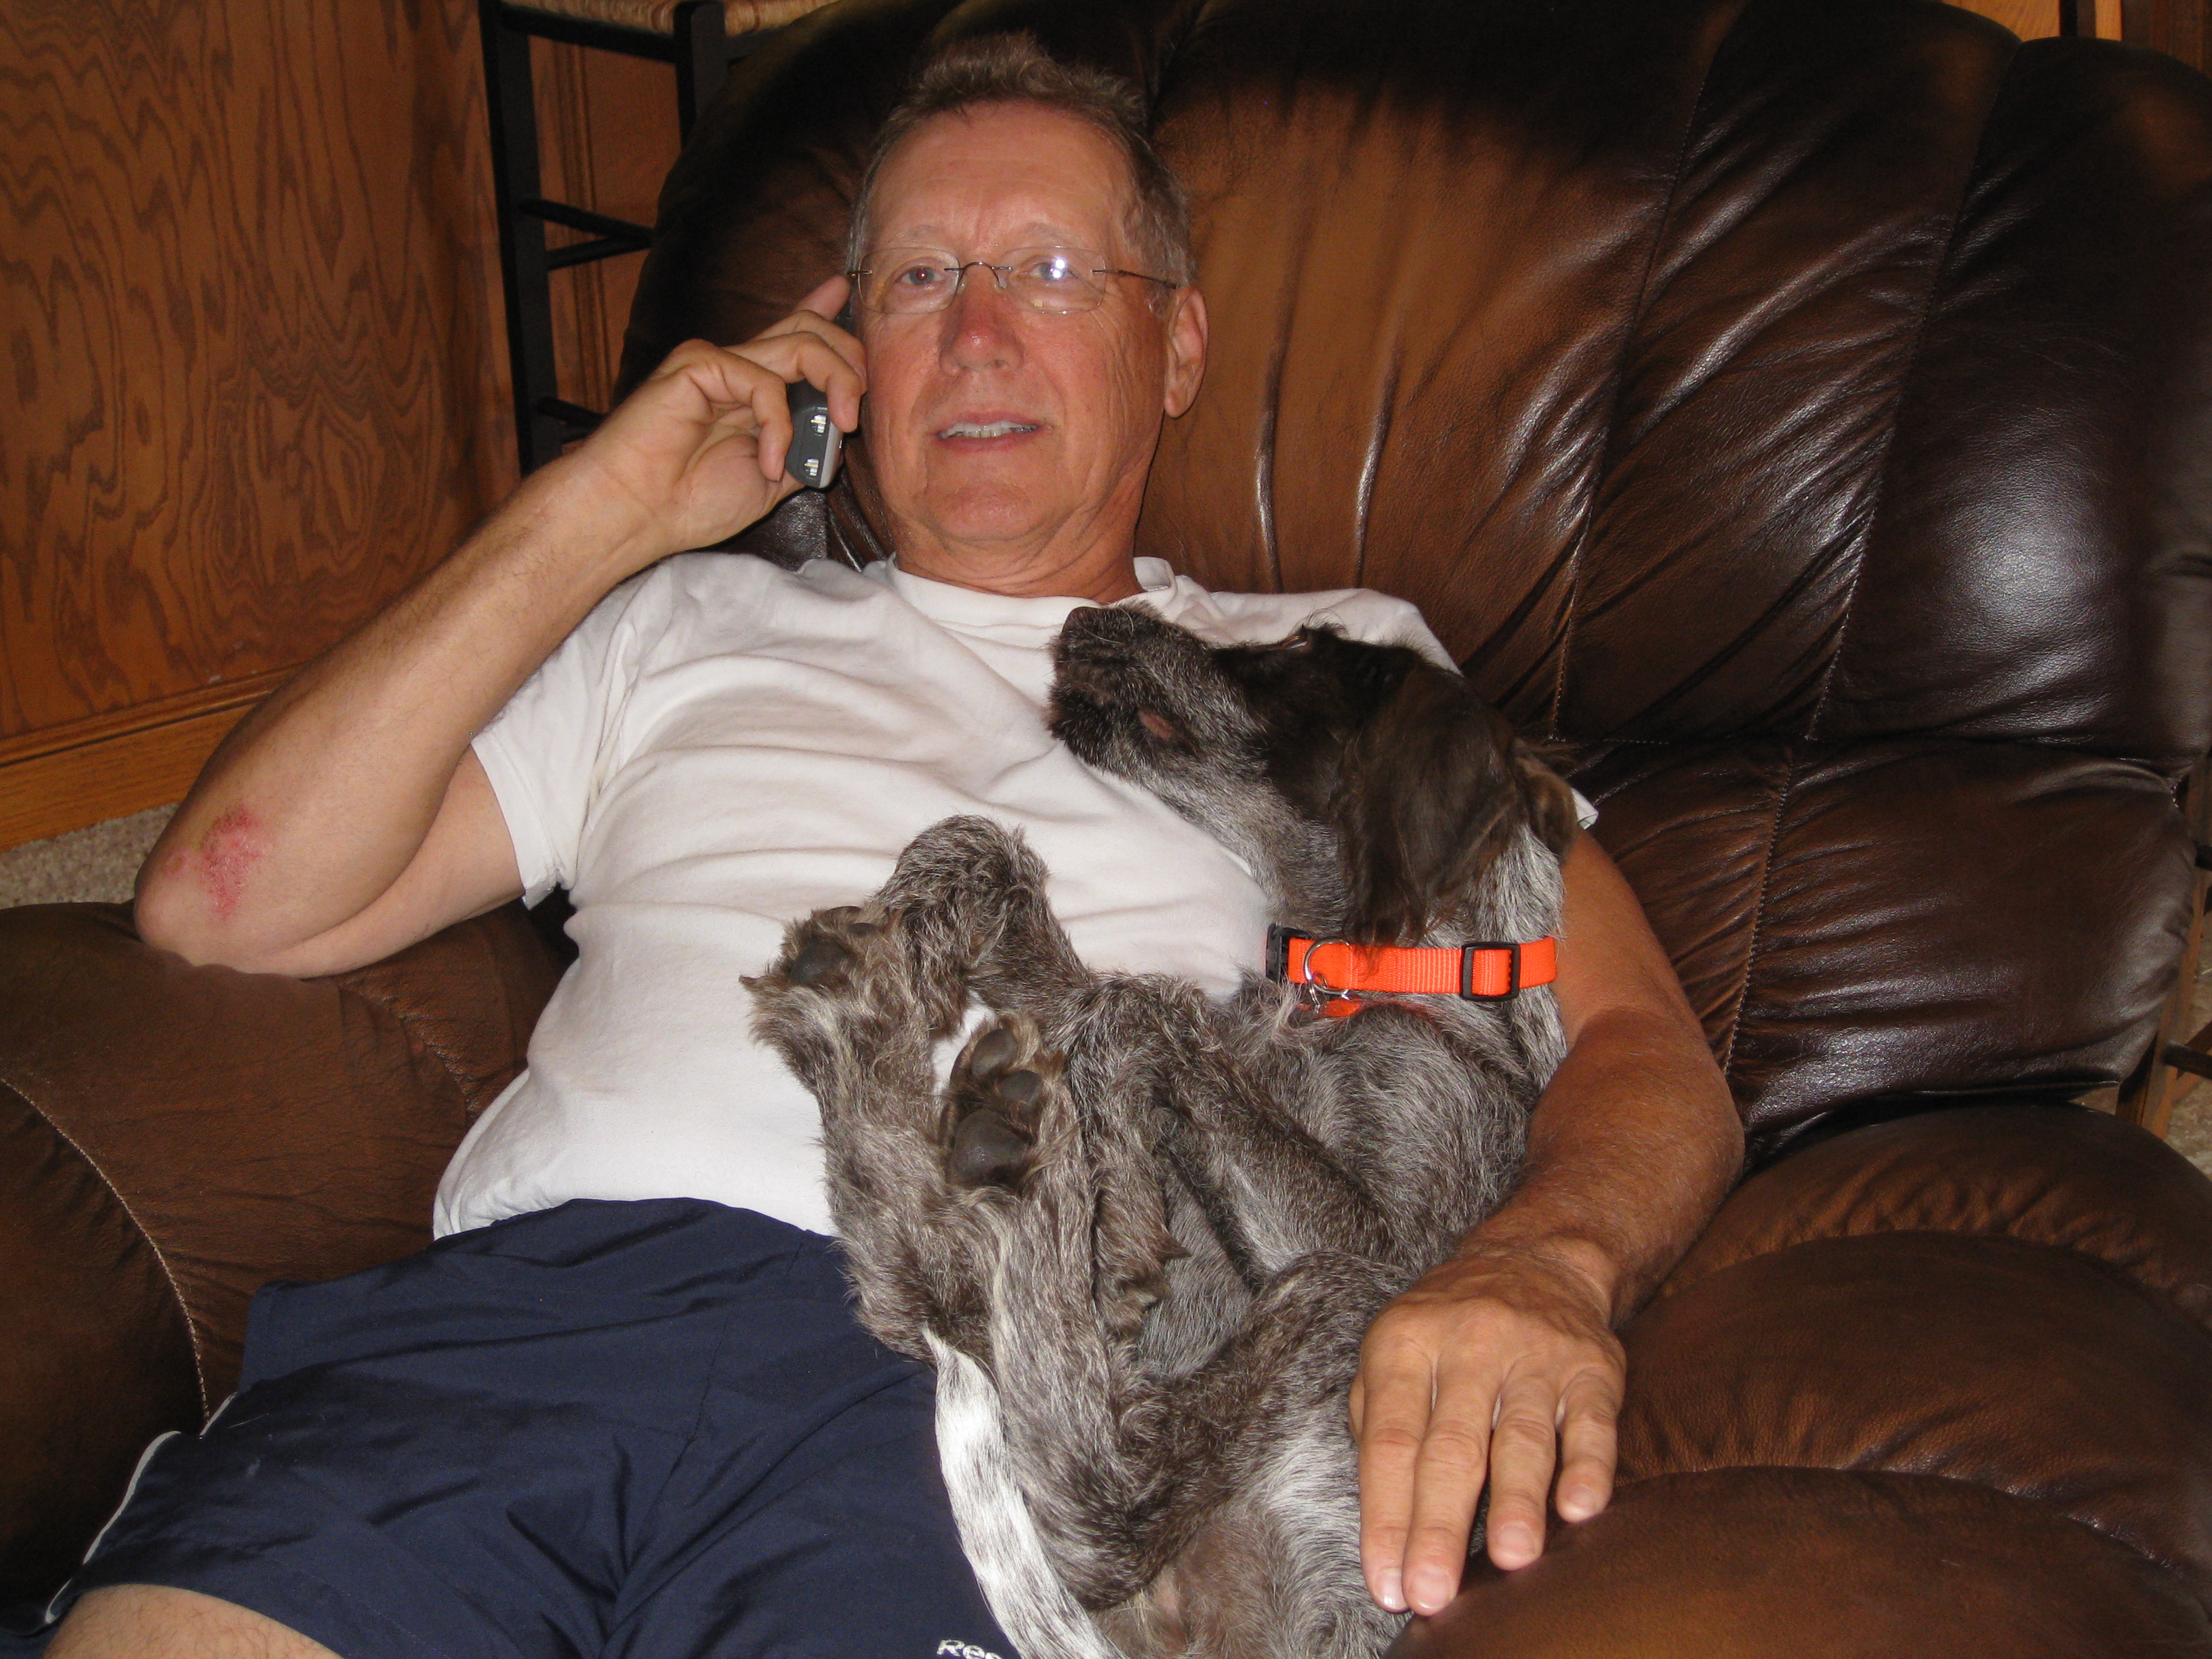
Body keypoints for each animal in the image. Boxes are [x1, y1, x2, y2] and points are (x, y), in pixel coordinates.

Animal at [746, 606, 1580, 1658]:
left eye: (1299, 649)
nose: (1090, 615)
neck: (1351, 980)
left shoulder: (1394, 1240)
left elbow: (1132, 1007)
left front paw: (1125, 1220)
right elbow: (1043, 936)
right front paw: (938, 894)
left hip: (1352, 1303)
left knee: (1106, 1508)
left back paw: (1031, 1179)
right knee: (919, 1292)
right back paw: (865, 1025)